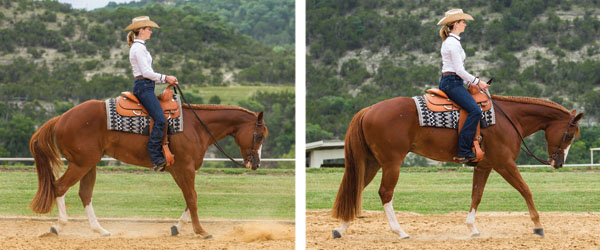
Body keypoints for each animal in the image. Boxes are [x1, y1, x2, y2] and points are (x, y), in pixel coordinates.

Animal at [28, 99, 268, 238]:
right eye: (258, 135)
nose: (256, 163)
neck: (196, 127)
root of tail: (62, 117)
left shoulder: (182, 171)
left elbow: (190, 198)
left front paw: (177, 228)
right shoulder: (185, 169)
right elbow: (192, 198)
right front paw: (201, 231)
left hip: (89, 164)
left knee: (85, 194)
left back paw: (100, 230)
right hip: (81, 164)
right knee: (59, 187)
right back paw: (58, 226)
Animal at [332, 94, 580, 239]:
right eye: (568, 135)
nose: (558, 163)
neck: (508, 118)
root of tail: (369, 110)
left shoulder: (484, 166)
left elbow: (476, 195)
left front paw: (472, 228)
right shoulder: (504, 163)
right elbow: (525, 189)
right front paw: (538, 226)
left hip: (372, 162)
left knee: (356, 188)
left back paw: (341, 228)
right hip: (392, 163)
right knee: (385, 193)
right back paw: (399, 231)